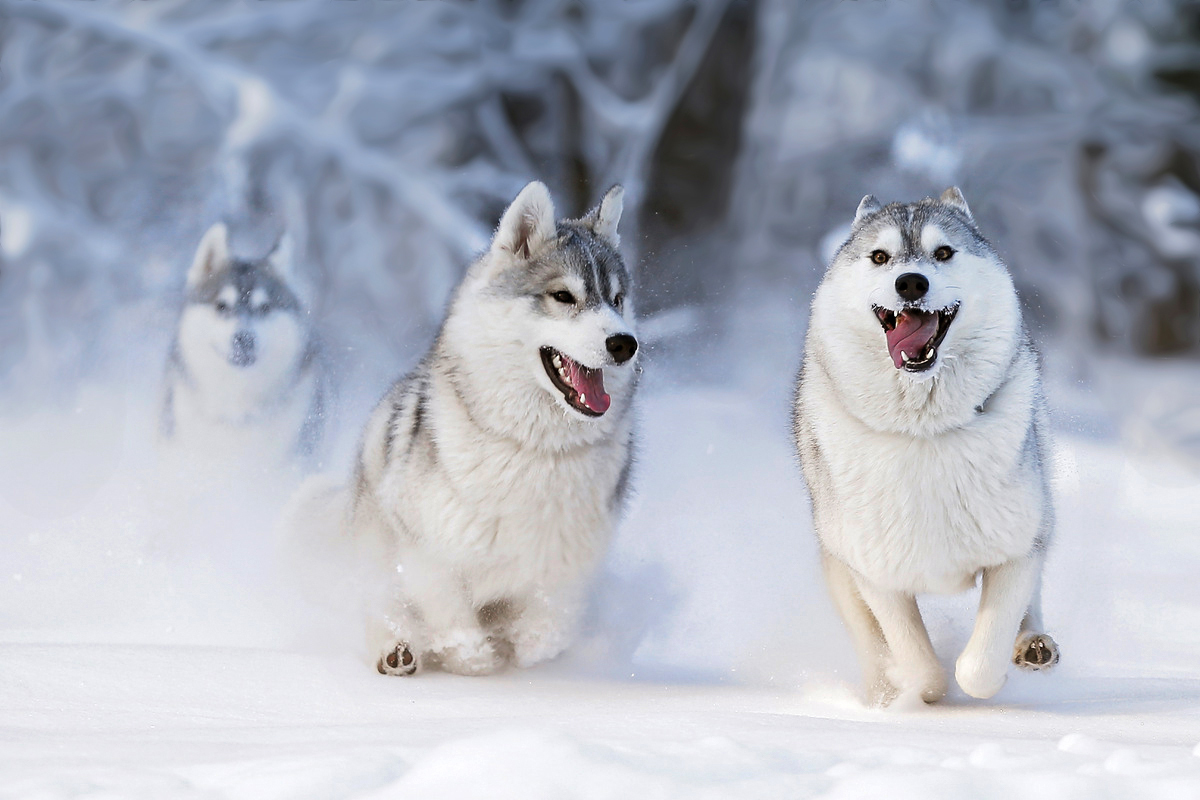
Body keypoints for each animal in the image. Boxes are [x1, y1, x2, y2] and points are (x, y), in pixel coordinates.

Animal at [345, 181, 638, 676]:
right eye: (563, 296)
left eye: (616, 300)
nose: (624, 343)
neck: (534, 449)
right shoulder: (426, 550)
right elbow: (451, 619)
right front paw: (475, 657)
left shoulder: (573, 562)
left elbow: (549, 625)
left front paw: (522, 645)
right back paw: (397, 650)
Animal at [796, 190, 1060, 705]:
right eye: (880, 257)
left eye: (943, 253)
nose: (911, 282)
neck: (925, 433)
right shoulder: (877, 576)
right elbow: (922, 667)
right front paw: (911, 691)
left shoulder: (1017, 550)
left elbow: (978, 666)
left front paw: (991, 672)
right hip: (838, 564)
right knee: (868, 640)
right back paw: (881, 694)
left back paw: (1033, 645)